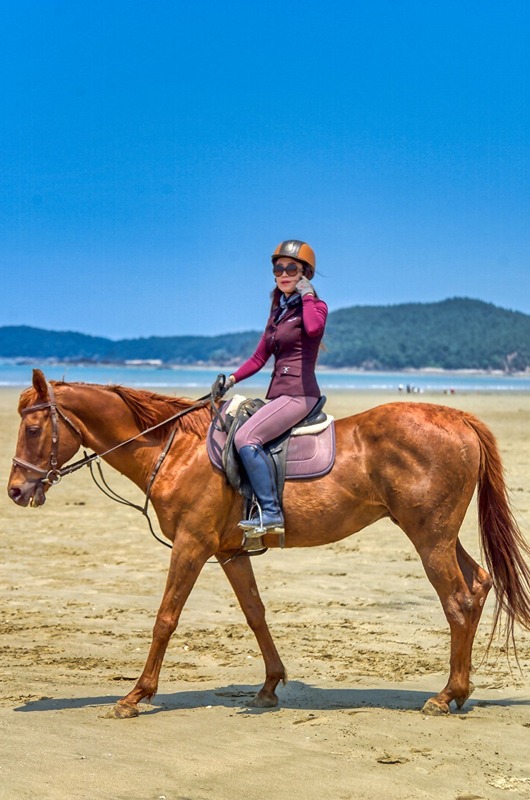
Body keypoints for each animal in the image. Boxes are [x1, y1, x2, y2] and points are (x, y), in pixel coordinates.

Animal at [7, 368, 528, 720]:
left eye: (32, 429)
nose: (15, 490)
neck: (176, 450)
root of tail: (458, 418)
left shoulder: (191, 546)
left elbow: (165, 618)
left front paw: (136, 696)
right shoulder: (229, 552)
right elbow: (255, 613)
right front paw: (270, 686)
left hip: (428, 537)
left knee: (458, 600)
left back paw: (445, 695)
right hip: (437, 535)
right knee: (478, 586)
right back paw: (461, 691)